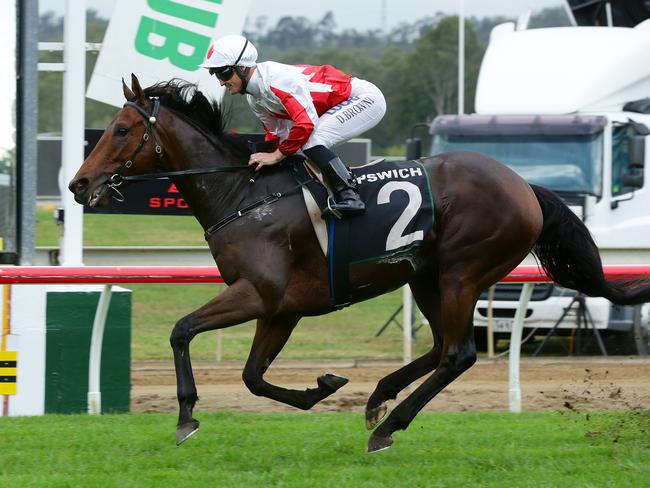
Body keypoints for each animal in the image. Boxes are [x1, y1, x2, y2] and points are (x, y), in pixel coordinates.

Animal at [69, 75, 648, 454]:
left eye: (122, 129)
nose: (78, 184)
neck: (244, 194)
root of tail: (524, 186)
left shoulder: (259, 293)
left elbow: (182, 329)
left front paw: (187, 415)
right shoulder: (280, 309)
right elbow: (253, 376)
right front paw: (321, 387)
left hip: (462, 271)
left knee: (457, 354)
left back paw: (387, 427)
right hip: (426, 276)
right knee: (440, 347)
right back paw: (378, 396)